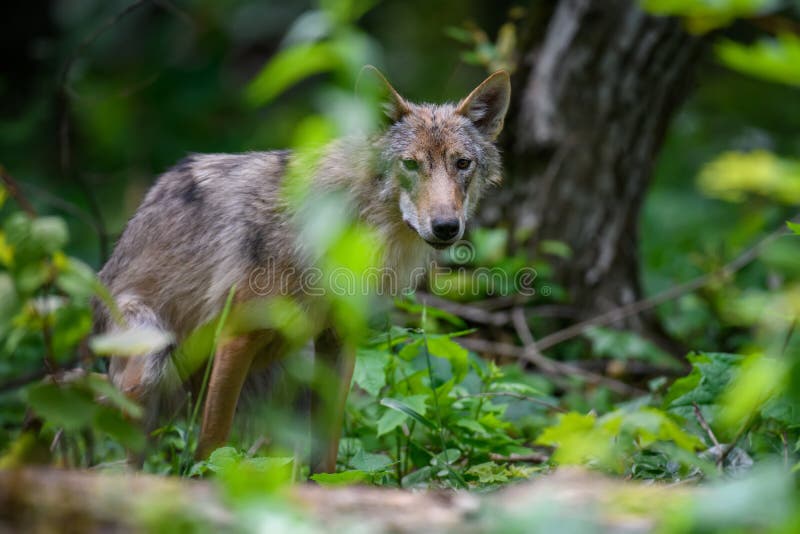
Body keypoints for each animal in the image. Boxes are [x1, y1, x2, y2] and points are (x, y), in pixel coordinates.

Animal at [90, 67, 510, 474]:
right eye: (410, 164)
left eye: (462, 164)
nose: (446, 227)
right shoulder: (236, 337)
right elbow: (212, 447)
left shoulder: (339, 340)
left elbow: (326, 452)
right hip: (149, 363)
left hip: (292, 376)